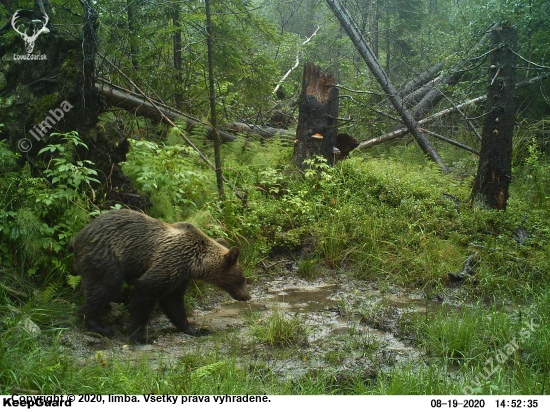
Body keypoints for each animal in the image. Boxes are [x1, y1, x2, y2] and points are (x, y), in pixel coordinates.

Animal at [69, 209, 252, 342]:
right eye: (242, 279)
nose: (247, 296)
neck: (195, 264)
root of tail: (77, 237)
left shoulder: (180, 277)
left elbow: (174, 303)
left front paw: (195, 329)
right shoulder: (171, 261)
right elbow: (146, 291)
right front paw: (140, 336)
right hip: (106, 256)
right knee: (106, 286)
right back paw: (99, 326)